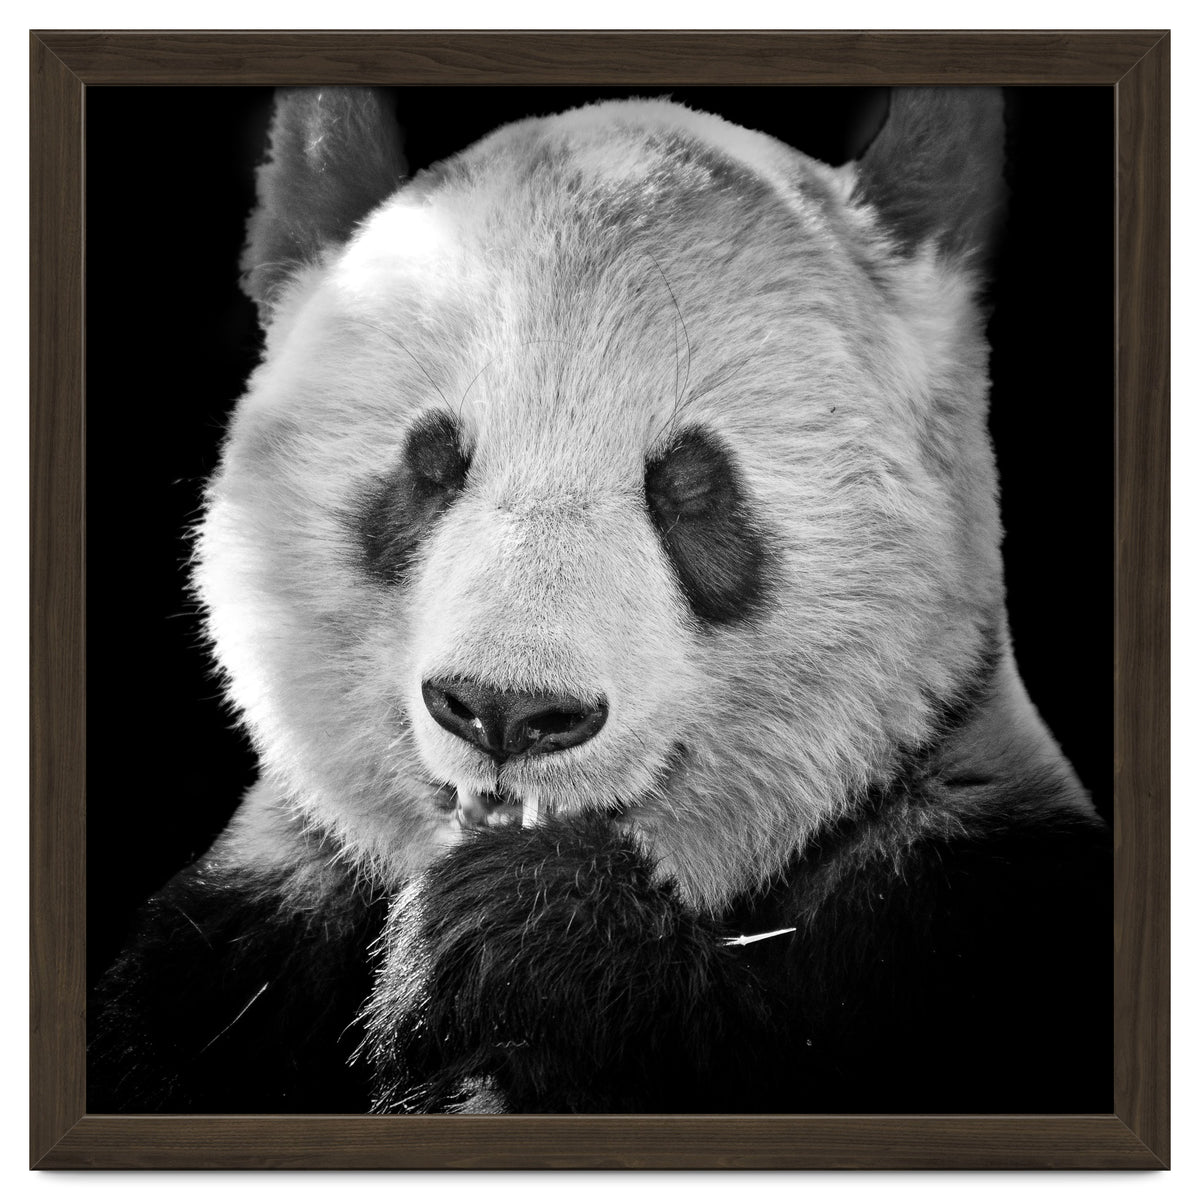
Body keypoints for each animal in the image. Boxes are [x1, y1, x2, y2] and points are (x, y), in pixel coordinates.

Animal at [89, 87, 1112, 1116]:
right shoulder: (238, 946)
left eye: (691, 487)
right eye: (431, 465)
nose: (506, 711)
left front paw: (527, 934)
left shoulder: (965, 901)